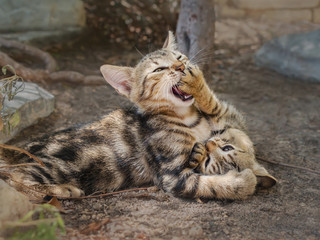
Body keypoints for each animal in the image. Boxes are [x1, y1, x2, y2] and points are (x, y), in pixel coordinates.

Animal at [1, 32, 276, 201]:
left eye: (179, 57)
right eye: (159, 69)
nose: (181, 67)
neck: (189, 119)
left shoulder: (223, 124)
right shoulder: (173, 176)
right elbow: (213, 185)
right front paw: (246, 180)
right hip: (54, 165)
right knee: (15, 180)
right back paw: (62, 189)